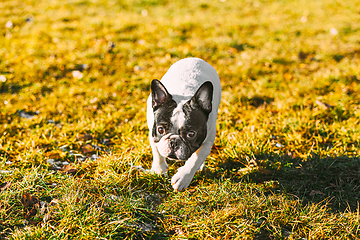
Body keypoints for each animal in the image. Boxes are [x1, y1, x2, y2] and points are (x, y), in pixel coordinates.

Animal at [146, 57, 219, 191]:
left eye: (191, 134)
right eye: (160, 130)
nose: (174, 141)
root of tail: (194, 58)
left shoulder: (207, 142)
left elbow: (195, 160)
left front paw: (182, 178)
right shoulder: (152, 134)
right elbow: (157, 151)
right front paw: (159, 169)